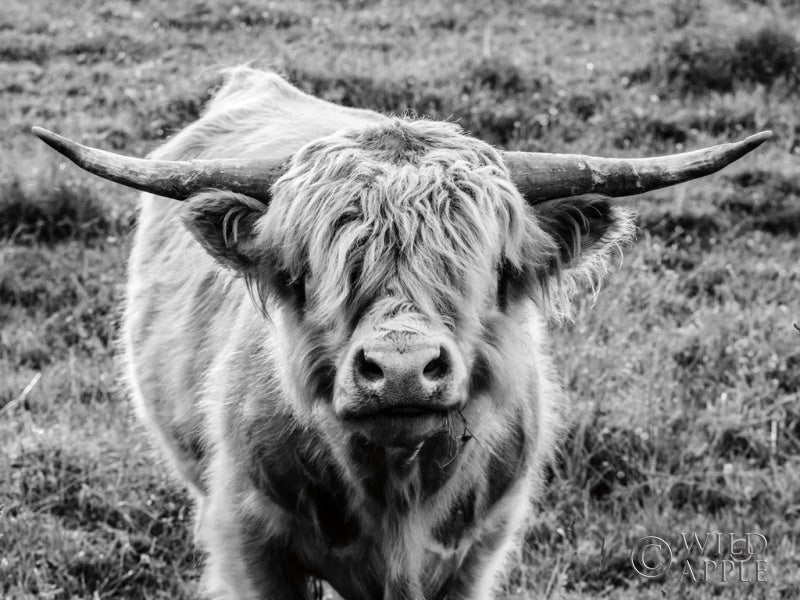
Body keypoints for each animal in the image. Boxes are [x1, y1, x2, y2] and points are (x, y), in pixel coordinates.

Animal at [33, 67, 770, 600]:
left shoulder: (478, 553)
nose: (403, 369)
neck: (396, 493)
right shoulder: (249, 541)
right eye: (313, 269)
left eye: (491, 268)